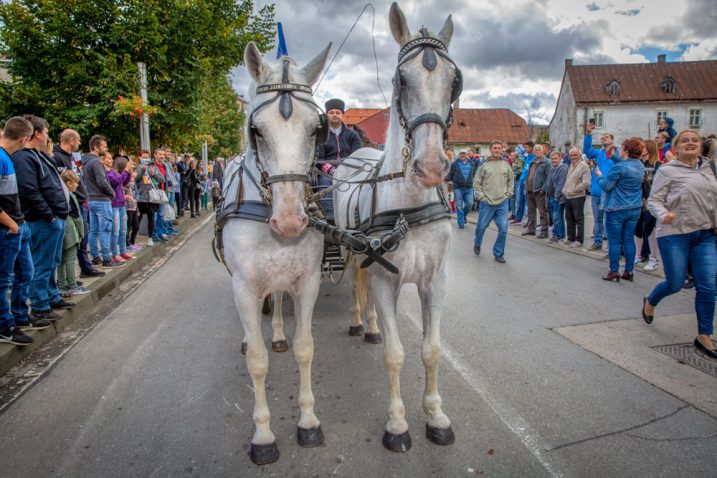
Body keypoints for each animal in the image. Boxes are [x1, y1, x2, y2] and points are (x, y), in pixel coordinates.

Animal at [221, 43, 330, 464]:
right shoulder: (244, 288)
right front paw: (263, 436)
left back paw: (279, 331)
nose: (289, 222)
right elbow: (257, 361)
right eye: (256, 130)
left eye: (316, 128)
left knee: (280, 300)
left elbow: (305, 349)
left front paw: (309, 422)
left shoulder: (308, 282)